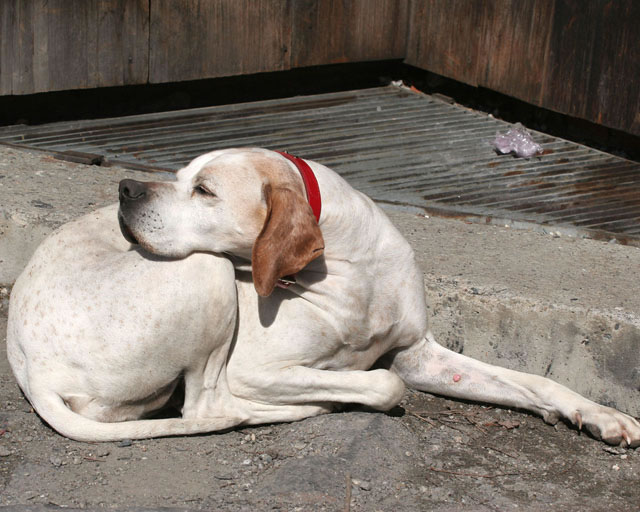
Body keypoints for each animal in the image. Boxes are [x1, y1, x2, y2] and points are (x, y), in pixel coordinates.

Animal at [6, 147, 640, 444]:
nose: (125, 188)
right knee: (210, 409)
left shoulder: (421, 353)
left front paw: (600, 414)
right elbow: (384, 383)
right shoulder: (257, 368)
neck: (351, 268)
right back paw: (309, 407)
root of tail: (29, 364)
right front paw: (345, 389)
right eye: (182, 177)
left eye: (203, 189)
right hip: (205, 272)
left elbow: (533, 382)